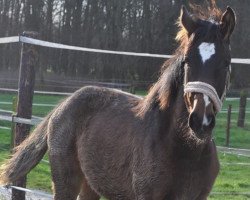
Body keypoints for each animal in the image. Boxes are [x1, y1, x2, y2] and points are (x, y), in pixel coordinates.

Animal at [0, 4, 235, 200]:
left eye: (226, 62)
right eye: (187, 61)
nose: (200, 121)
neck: (185, 150)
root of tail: (63, 105)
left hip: (91, 185)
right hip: (65, 181)